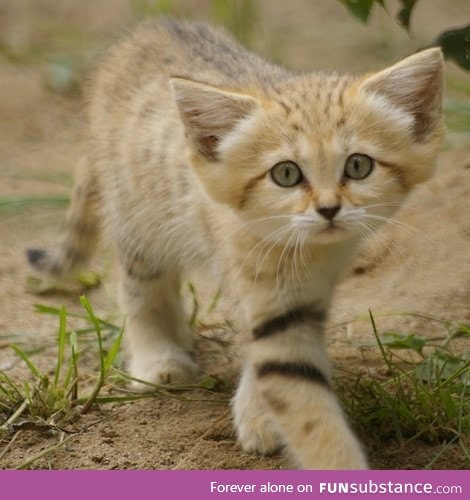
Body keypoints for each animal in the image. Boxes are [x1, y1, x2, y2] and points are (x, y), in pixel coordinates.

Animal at [26, 16, 444, 468]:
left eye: (358, 166)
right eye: (286, 174)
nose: (329, 209)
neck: (304, 251)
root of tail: (147, 31)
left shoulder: (305, 298)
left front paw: (257, 414)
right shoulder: (267, 295)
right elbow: (302, 402)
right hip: (137, 218)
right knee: (142, 288)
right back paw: (159, 356)